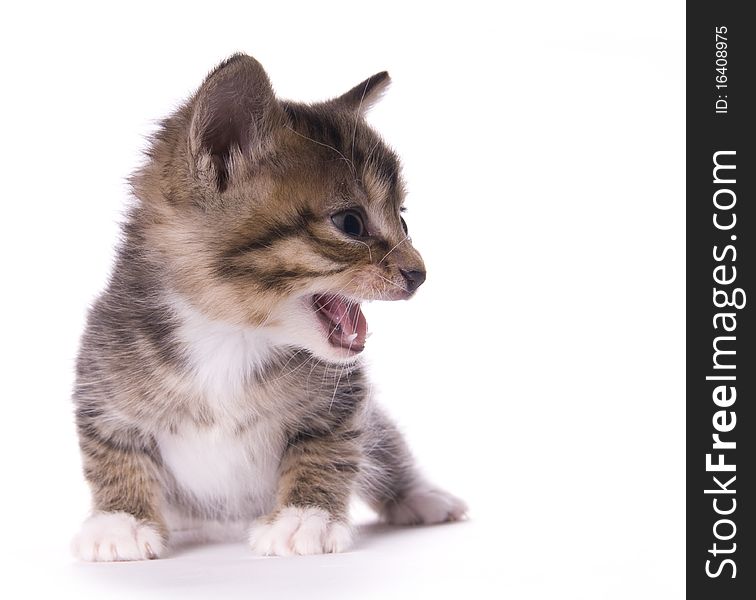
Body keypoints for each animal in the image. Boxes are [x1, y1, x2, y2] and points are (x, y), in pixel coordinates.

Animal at [74, 54, 470, 560]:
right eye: (350, 223)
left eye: (402, 221)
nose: (419, 273)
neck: (228, 335)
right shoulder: (102, 383)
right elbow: (112, 449)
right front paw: (120, 521)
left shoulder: (344, 401)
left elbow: (329, 448)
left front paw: (305, 517)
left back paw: (421, 497)